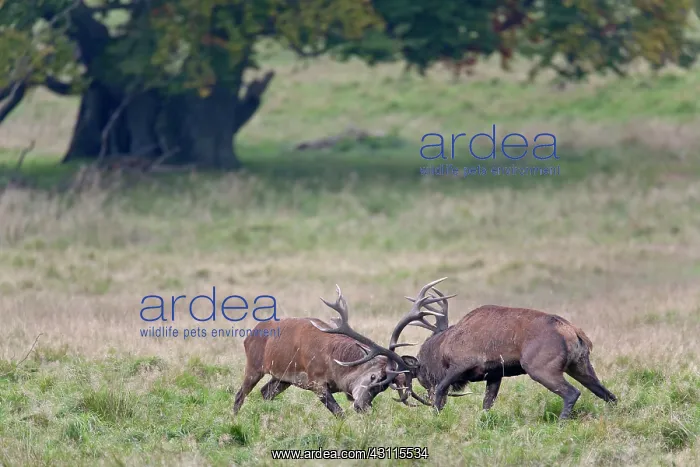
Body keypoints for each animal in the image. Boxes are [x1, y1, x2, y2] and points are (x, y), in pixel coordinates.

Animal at [232, 285, 416, 417]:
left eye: (383, 388)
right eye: (373, 376)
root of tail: (249, 336)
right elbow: (339, 412)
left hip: (283, 377)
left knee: (265, 392)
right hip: (253, 366)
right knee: (240, 395)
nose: (362, 406)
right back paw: (234, 418)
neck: (333, 364)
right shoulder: (316, 381)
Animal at [388, 277, 618, 420]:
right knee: (608, 395)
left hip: (541, 367)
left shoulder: (461, 364)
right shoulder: (495, 373)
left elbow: (442, 389)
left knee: (572, 393)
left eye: (419, 375)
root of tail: (574, 332)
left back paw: (562, 423)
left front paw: (435, 416)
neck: (441, 349)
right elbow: (487, 404)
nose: (425, 398)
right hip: (580, 365)